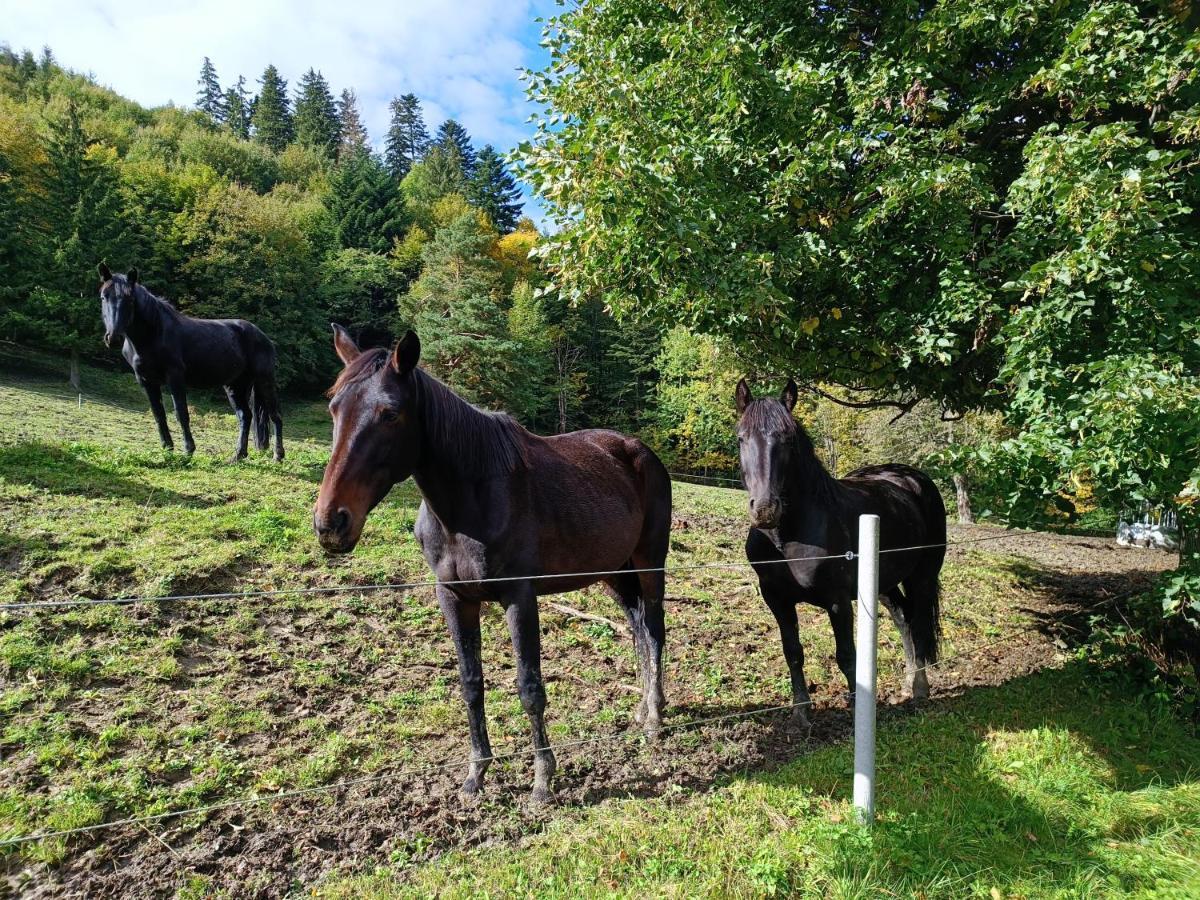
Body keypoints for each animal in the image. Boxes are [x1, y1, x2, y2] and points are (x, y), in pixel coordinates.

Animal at [97, 264, 283, 460]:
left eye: (130, 299)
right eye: (103, 296)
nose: (113, 338)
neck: (154, 334)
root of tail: (263, 337)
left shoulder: (175, 377)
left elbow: (181, 412)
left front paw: (188, 450)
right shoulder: (146, 381)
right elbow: (158, 414)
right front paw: (167, 448)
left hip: (264, 380)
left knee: (275, 416)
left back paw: (277, 455)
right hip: (235, 385)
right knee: (245, 416)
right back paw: (238, 455)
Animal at [314, 326, 672, 801]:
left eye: (389, 413)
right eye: (334, 406)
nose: (331, 522)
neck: (470, 504)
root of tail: (638, 450)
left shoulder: (519, 597)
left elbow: (529, 686)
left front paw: (542, 781)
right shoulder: (453, 597)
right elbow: (471, 683)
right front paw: (476, 774)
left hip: (649, 564)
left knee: (654, 630)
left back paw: (654, 718)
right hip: (613, 571)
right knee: (636, 628)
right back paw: (640, 711)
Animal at [729, 376, 945, 729]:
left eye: (788, 439)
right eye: (741, 438)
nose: (765, 510)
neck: (785, 539)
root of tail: (910, 477)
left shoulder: (837, 601)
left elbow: (846, 655)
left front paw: (858, 710)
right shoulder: (777, 599)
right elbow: (793, 652)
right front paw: (801, 712)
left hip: (923, 576)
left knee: (919, 623)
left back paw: (919, 688)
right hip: (884, 583)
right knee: (903, 618)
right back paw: (907, 682)